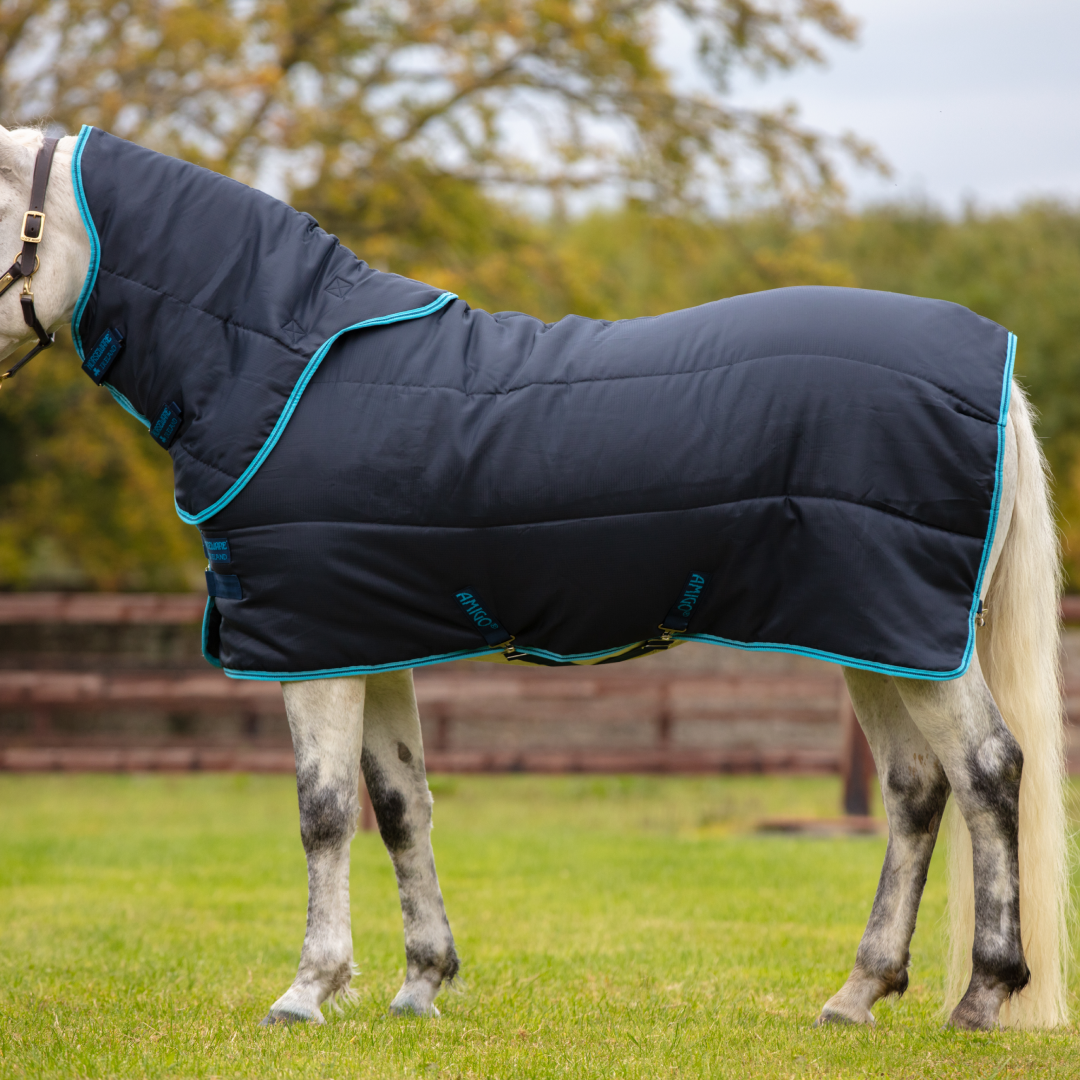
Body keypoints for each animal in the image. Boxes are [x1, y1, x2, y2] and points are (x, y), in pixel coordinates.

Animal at [0, 123, 1068, 1032]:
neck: (280, 362)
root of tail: (998, 371)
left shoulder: (314, 650)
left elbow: (324, 813)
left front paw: (308, 992)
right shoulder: (369, 637)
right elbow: (400, 806)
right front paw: (420, 985)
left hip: (905, 636)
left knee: (986, 771)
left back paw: (984, 996)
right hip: (872, 635)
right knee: (916, 789)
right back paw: (857, 995)